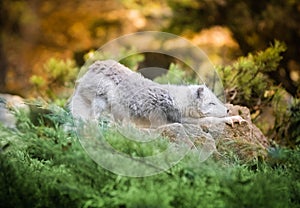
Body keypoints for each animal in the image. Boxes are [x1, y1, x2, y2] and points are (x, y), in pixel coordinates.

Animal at [69, 59, 244, 127]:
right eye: (211, 103)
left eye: (216, 100)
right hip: (101, 102)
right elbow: (211, 120)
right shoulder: (184, 120)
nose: (227, 109)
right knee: (93, 118)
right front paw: (233, 118)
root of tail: (95, 65)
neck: (179, 100)